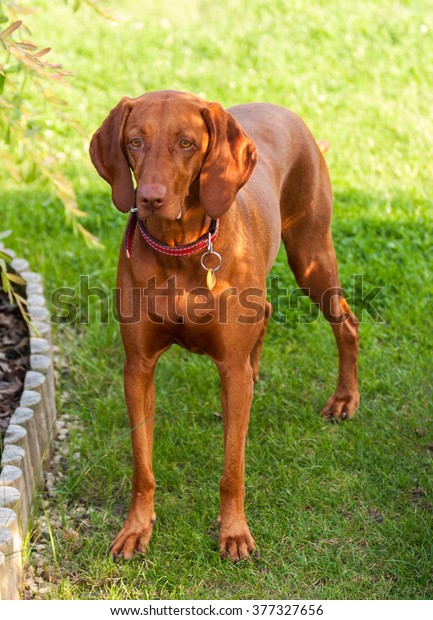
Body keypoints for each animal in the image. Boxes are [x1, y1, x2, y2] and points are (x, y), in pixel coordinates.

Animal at [89, 91, 360, 560]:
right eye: (135, 141)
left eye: (186, 143)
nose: (151, 199)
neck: (179, 250)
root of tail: (285, 110)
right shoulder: (138, 367)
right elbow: (142, 465)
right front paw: (136, 528)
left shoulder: (229, 367)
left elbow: (233, 468)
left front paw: (233, 532)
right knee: (265, 313)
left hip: (311, 255)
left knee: (346, 322)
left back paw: (345, 399)